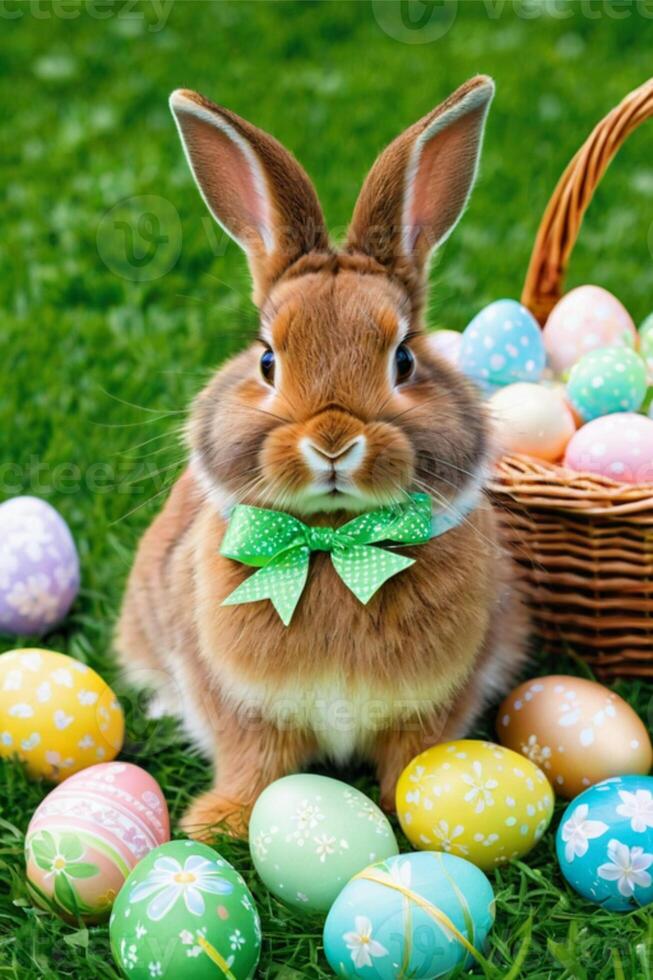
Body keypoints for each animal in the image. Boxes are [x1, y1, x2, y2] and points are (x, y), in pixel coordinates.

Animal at [114, 78, 528, 844]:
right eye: (267, 360)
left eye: (404, 359)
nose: (333, 441)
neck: (336, 543)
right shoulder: (241, 706)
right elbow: (254, 765)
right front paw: (216, 826)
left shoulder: (436, 703)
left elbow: (413, 759)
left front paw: (415, 814)